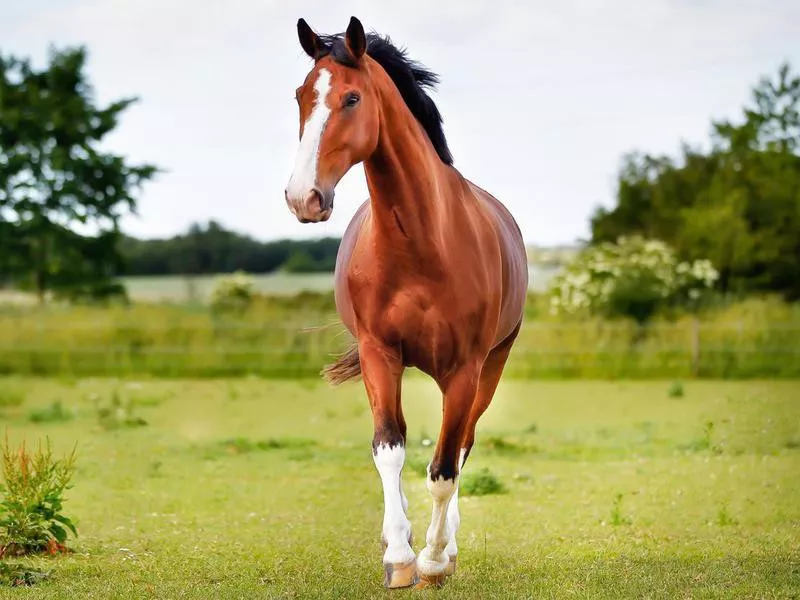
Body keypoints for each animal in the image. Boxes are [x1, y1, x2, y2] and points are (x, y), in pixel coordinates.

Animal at [284, 16, 528, 588]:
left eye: (351, 98)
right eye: (301, 96)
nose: (303, 197)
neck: (420, 243)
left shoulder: (465, 368)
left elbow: (444, 469)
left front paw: (434, 561)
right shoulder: (379, 354)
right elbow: (389, 450)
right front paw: (399, 555)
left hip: (490, 367)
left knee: (462, 447)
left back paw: (447, 546)